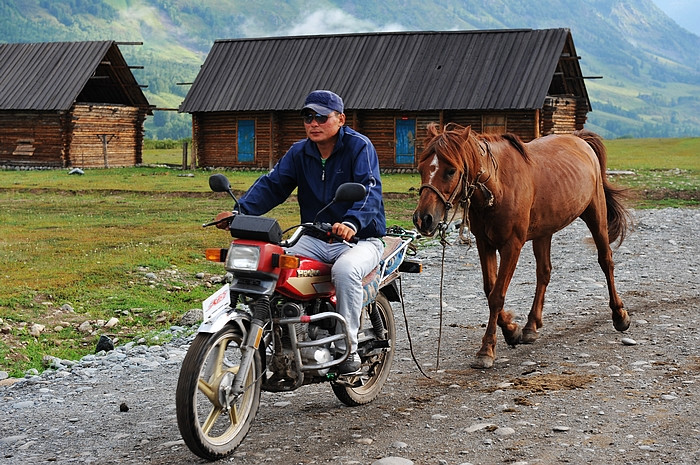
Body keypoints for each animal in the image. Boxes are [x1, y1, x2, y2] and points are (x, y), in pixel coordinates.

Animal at [412, 124, 632, 370]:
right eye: (421, 168)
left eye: (450, 170)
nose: (423, 219)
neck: (497, 187)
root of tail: (579, 139)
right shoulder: (484, 244)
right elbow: (489, 289)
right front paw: (512, 330)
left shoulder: (512, 246)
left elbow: (497, 295)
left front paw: (487, 349)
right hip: (544, 232)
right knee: (544, 273)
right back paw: (531, 326)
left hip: (596, 215)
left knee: (606, 260)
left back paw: (619, 315)